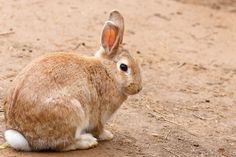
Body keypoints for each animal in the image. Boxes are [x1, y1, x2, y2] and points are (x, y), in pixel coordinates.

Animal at [3, 10, 142, 152]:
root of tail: (25, 138)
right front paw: (107, 135)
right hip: (73, 114)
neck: (108, 72)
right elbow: (98, 129)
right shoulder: (98, 117)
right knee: (63, 145)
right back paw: (87, 141)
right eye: (123, 67)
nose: (138, 88)